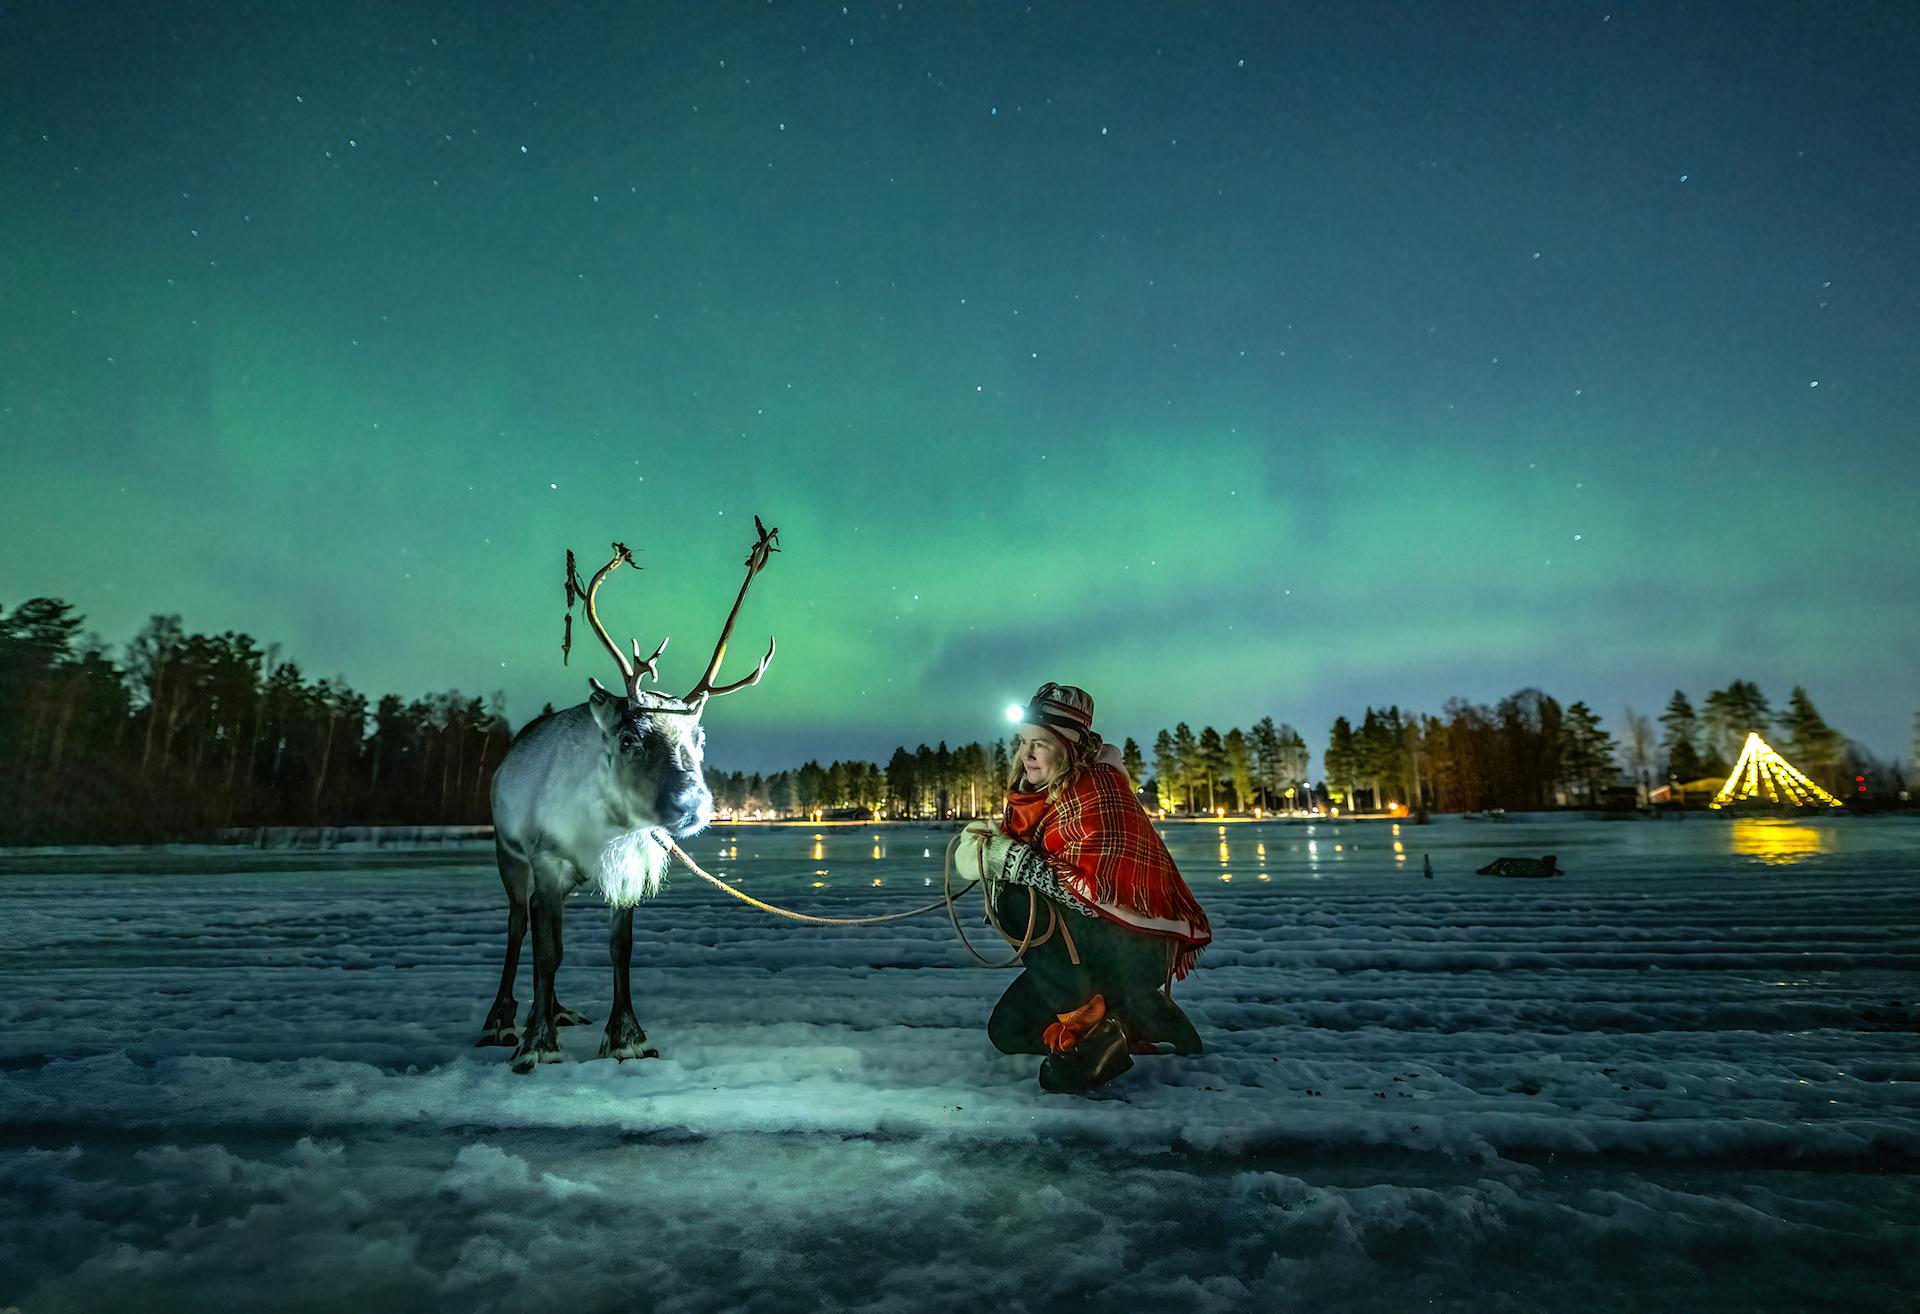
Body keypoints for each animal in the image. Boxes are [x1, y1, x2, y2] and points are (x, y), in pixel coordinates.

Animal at [480, 518, 778, 1073]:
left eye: (700, 737)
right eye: (628, 739)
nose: (691, 804)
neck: (610, 827)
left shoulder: (629, 867)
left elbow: (620, 947)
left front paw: (626, 1038)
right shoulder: (545, 856)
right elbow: (548, 950)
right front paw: (537, 1045)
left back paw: (555, 1011)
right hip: (508, 853)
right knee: (518, 925)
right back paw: (502, 1021)